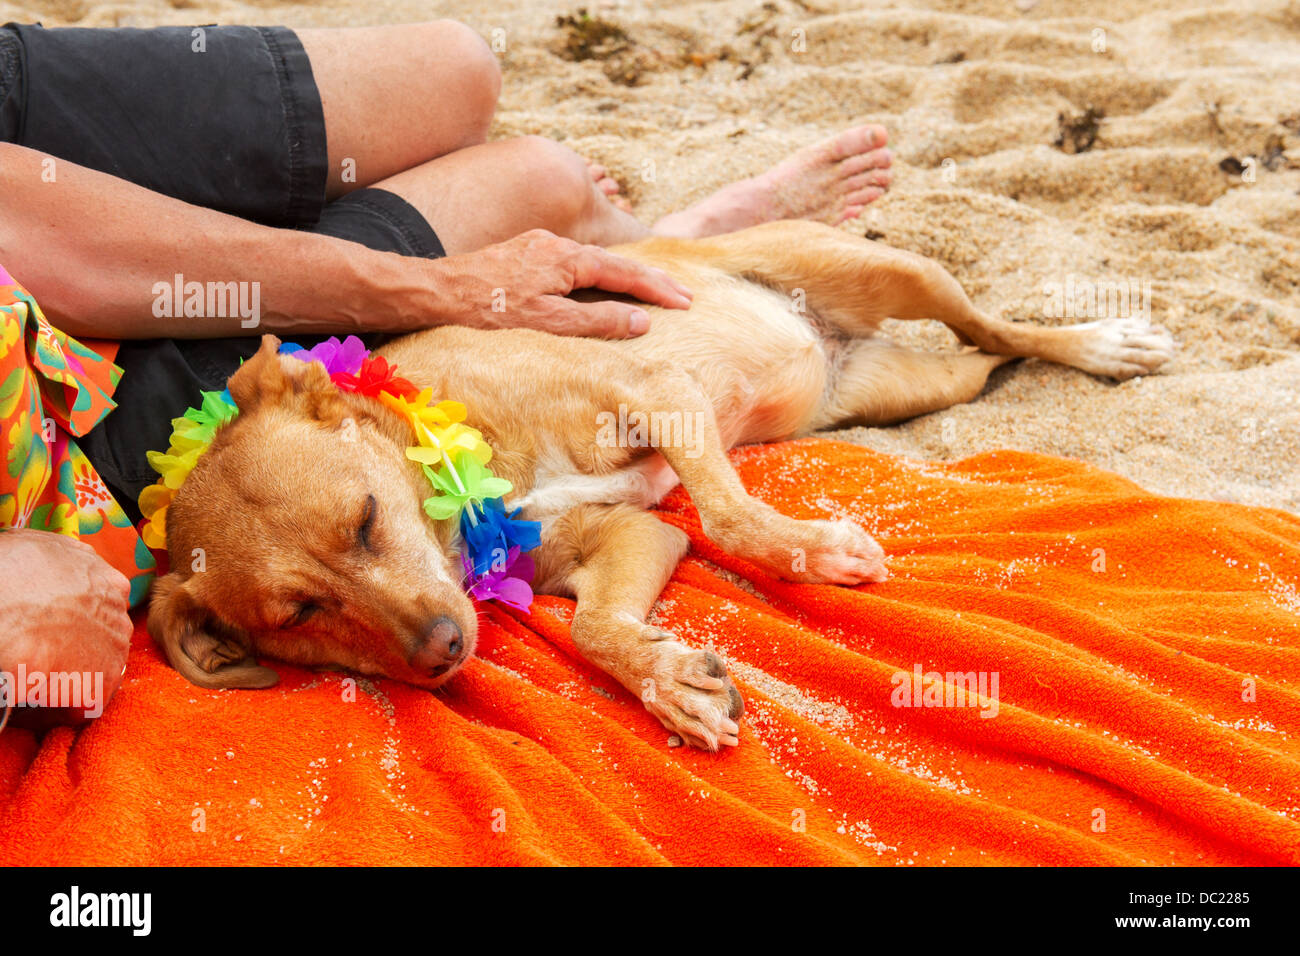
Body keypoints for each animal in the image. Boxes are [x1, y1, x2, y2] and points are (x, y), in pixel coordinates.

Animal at [147, 221, 1175, 749]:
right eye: (297, 615)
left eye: (365, 520)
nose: (444, 649)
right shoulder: (632, 535)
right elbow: (599, 626)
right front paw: (668, 681)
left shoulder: (654, 392)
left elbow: (732, 513)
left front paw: (810, 550)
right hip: (903, 388)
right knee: (987, 360)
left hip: (890, 269)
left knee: (1001, 327)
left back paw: (1101, 344)